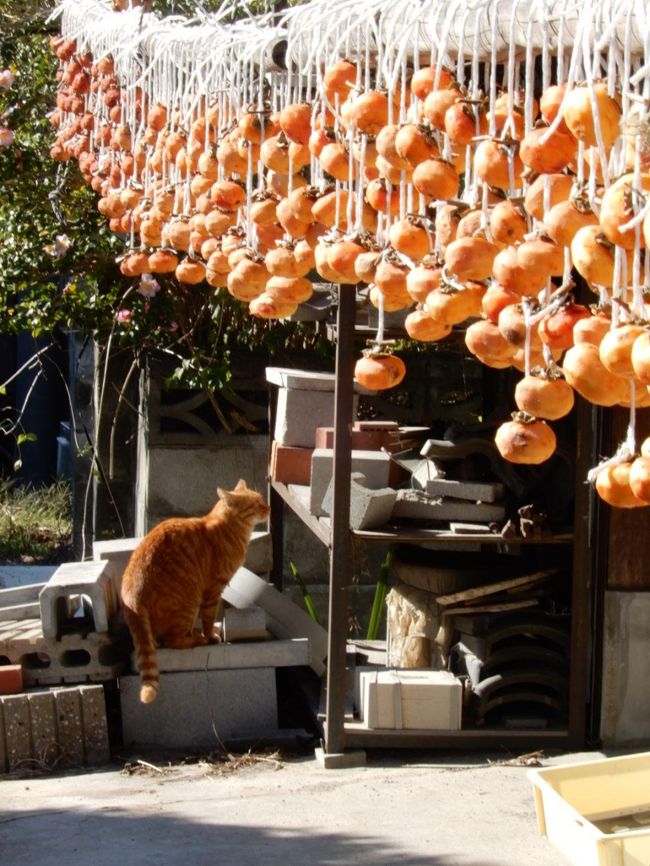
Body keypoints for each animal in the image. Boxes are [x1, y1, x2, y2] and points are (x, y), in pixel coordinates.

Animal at [120, 476, 270, 704]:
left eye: (262, 500)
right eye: (256, 504)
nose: (269, 508)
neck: (228, 527)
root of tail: (131, 595)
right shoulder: (214, 588)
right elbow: (208, 617)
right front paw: (211, 636)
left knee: (159, 640)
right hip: (188, 605)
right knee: (172, 641)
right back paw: (198, 639)